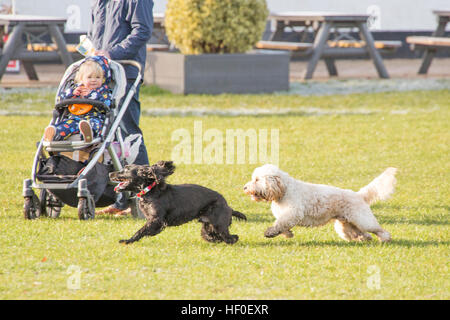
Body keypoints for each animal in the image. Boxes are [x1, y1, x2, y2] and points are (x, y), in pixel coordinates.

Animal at [111, 161, 248, 244]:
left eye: (126, 169)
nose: (110, 173)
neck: (150, 191)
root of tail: (228, 207)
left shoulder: (156, 219)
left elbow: (141, 231)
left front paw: (127, 241)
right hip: (208, 225)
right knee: (212, 236)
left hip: (218, 224)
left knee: (232, 237)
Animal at [243, 166, 398, 241]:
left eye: (256, 179)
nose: (245, 188)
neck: (284, 190)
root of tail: (358, 195)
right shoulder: (285, 215)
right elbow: (282, 225)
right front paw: (287, 234)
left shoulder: (293, 213)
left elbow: (280, 224)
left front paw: (270, 232)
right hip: (346, 224)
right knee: (361, 234)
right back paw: (364, 238)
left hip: (363, 220)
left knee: (379, 230)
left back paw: (385, 239)